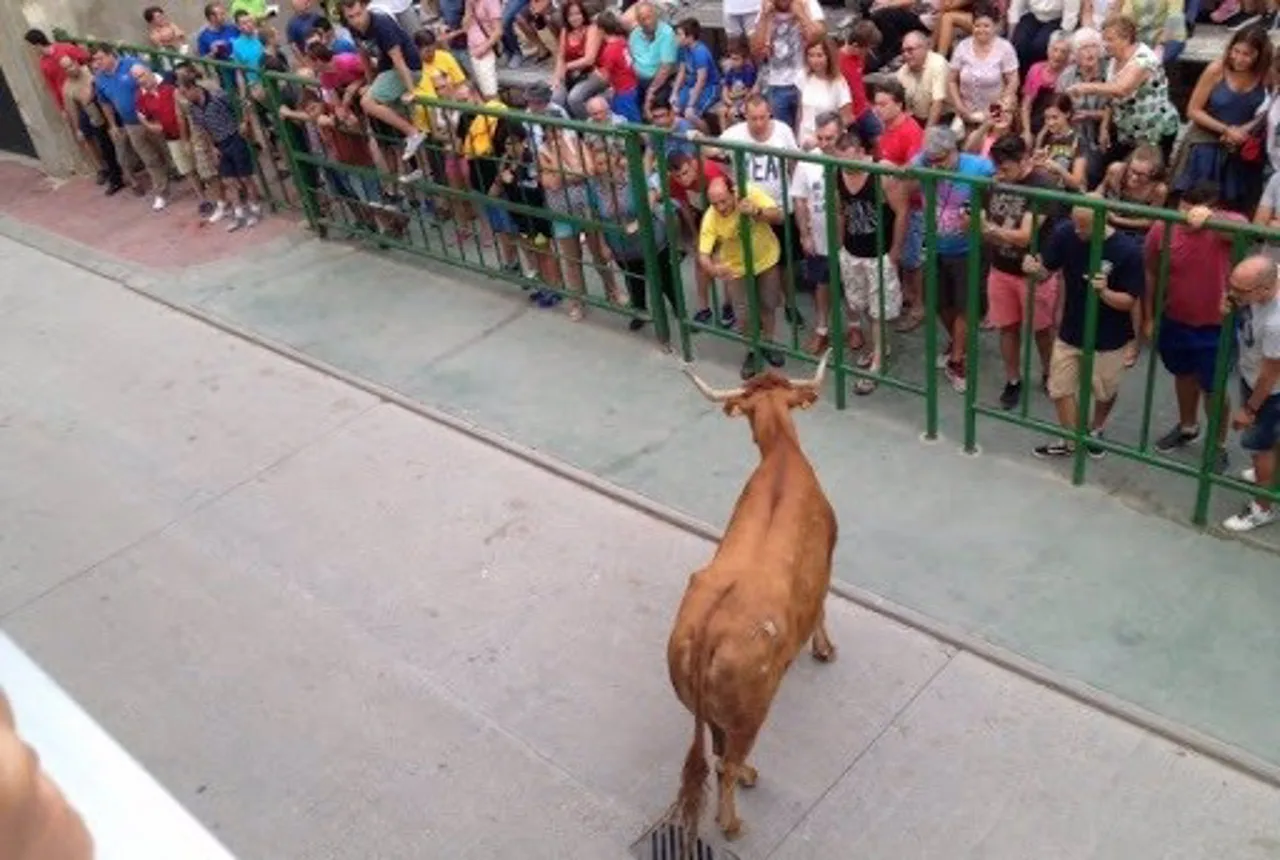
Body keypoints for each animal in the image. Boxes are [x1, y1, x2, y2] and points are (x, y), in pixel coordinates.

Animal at [670, 348, 839, 844]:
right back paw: (732, 822)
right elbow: (822, 605)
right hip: (753, 710)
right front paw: (824, 648)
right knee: (726, 762)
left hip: (703, 707)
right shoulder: (828, 557)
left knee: (718, 752)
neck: (782, 453)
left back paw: (746, 775)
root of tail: (706, 633)